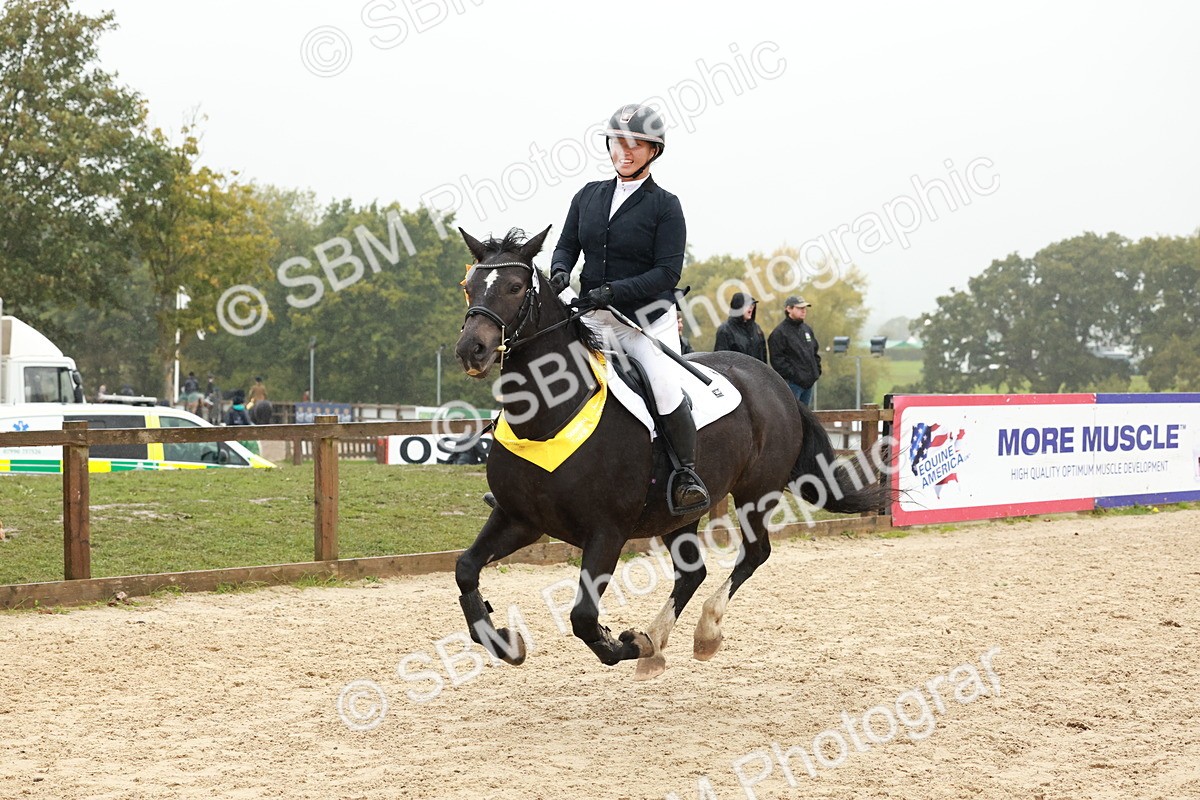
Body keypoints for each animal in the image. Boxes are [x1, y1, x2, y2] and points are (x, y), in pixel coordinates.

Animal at [453, 226, 883, 678]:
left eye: (515, 287)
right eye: (469, 287)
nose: (472, 349)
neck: (549, 417)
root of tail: (775, 382)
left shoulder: (607, 532)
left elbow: (584, 617)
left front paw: (628, 643)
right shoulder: (518, 519)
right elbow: (465, 569)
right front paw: (503, 641)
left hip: (757, 493)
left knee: (753, 554)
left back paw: (701, 633)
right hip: (680, 513)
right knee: (693, 571)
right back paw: (658, 642)